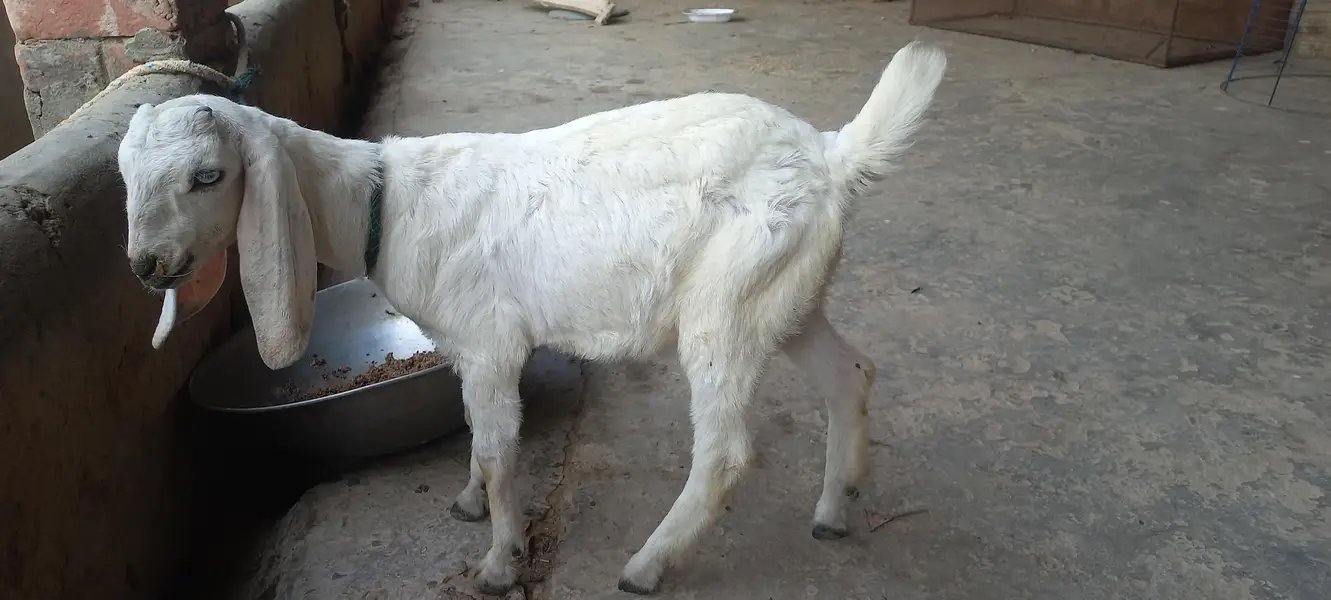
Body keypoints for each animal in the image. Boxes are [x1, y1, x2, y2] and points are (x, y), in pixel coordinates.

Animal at [119, 41, 947, 595]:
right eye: (124, 175)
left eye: (209, 175)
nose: (147, 264)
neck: (383, 202)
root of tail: (832, 156)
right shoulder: (463, 350)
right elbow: (475, 434)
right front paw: (467, 503)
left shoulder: (490, 343)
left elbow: (498, 447)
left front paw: (496, 560)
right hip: (785, 294)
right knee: (850, 374)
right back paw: (834, 508)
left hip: (728, 301)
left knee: (726, 452)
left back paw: (646, 565)